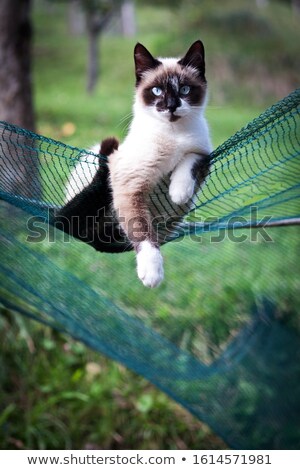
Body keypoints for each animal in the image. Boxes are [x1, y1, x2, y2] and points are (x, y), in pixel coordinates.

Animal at [57, 40, 212, 288]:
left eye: (185, 90)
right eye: (157, 91)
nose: (171, 106)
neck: (173, 135)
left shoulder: (203, 153)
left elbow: (188, 161)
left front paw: (178, 193)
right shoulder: (131, 186)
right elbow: (142, 232)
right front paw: (152, 273)